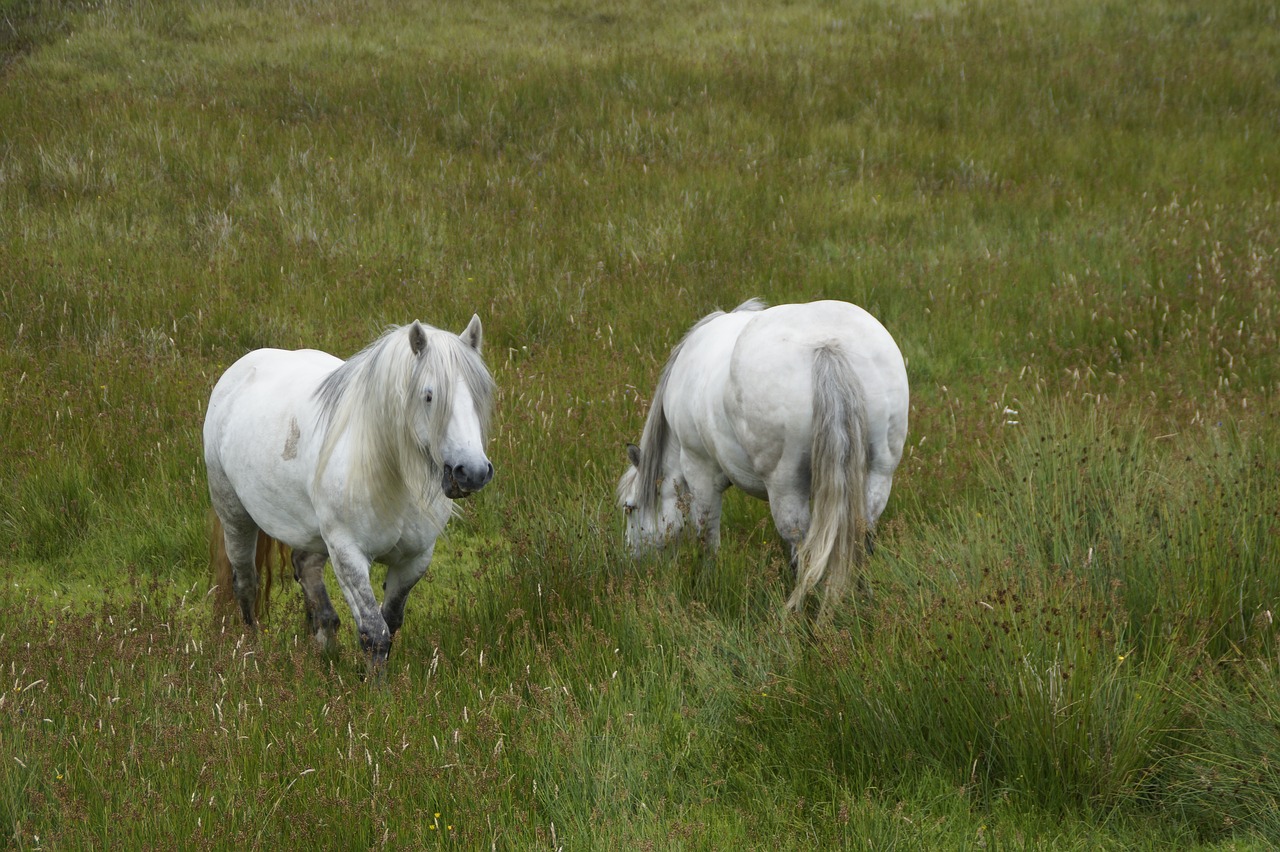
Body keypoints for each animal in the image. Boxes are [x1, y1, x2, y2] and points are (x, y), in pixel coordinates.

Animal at [204, 317, 494, 665]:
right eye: (429, 396)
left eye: (480, 395)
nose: (473, 472)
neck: (391, 473)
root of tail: (238, 370)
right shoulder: (349, 555)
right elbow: (374, 633)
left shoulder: (415, 559)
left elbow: (390, 622)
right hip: (235, 516)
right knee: (245, 582)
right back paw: (252, 648)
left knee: (305, 567)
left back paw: (324, 645)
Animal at [619, 301, 911, 614]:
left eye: (629, 507)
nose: (631, 562)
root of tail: (826, 347)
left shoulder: (699, 470)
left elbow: (706, 534)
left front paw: (708, 583)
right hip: (878, 475)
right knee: (860, 536)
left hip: (785, 485)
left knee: (801, 546)